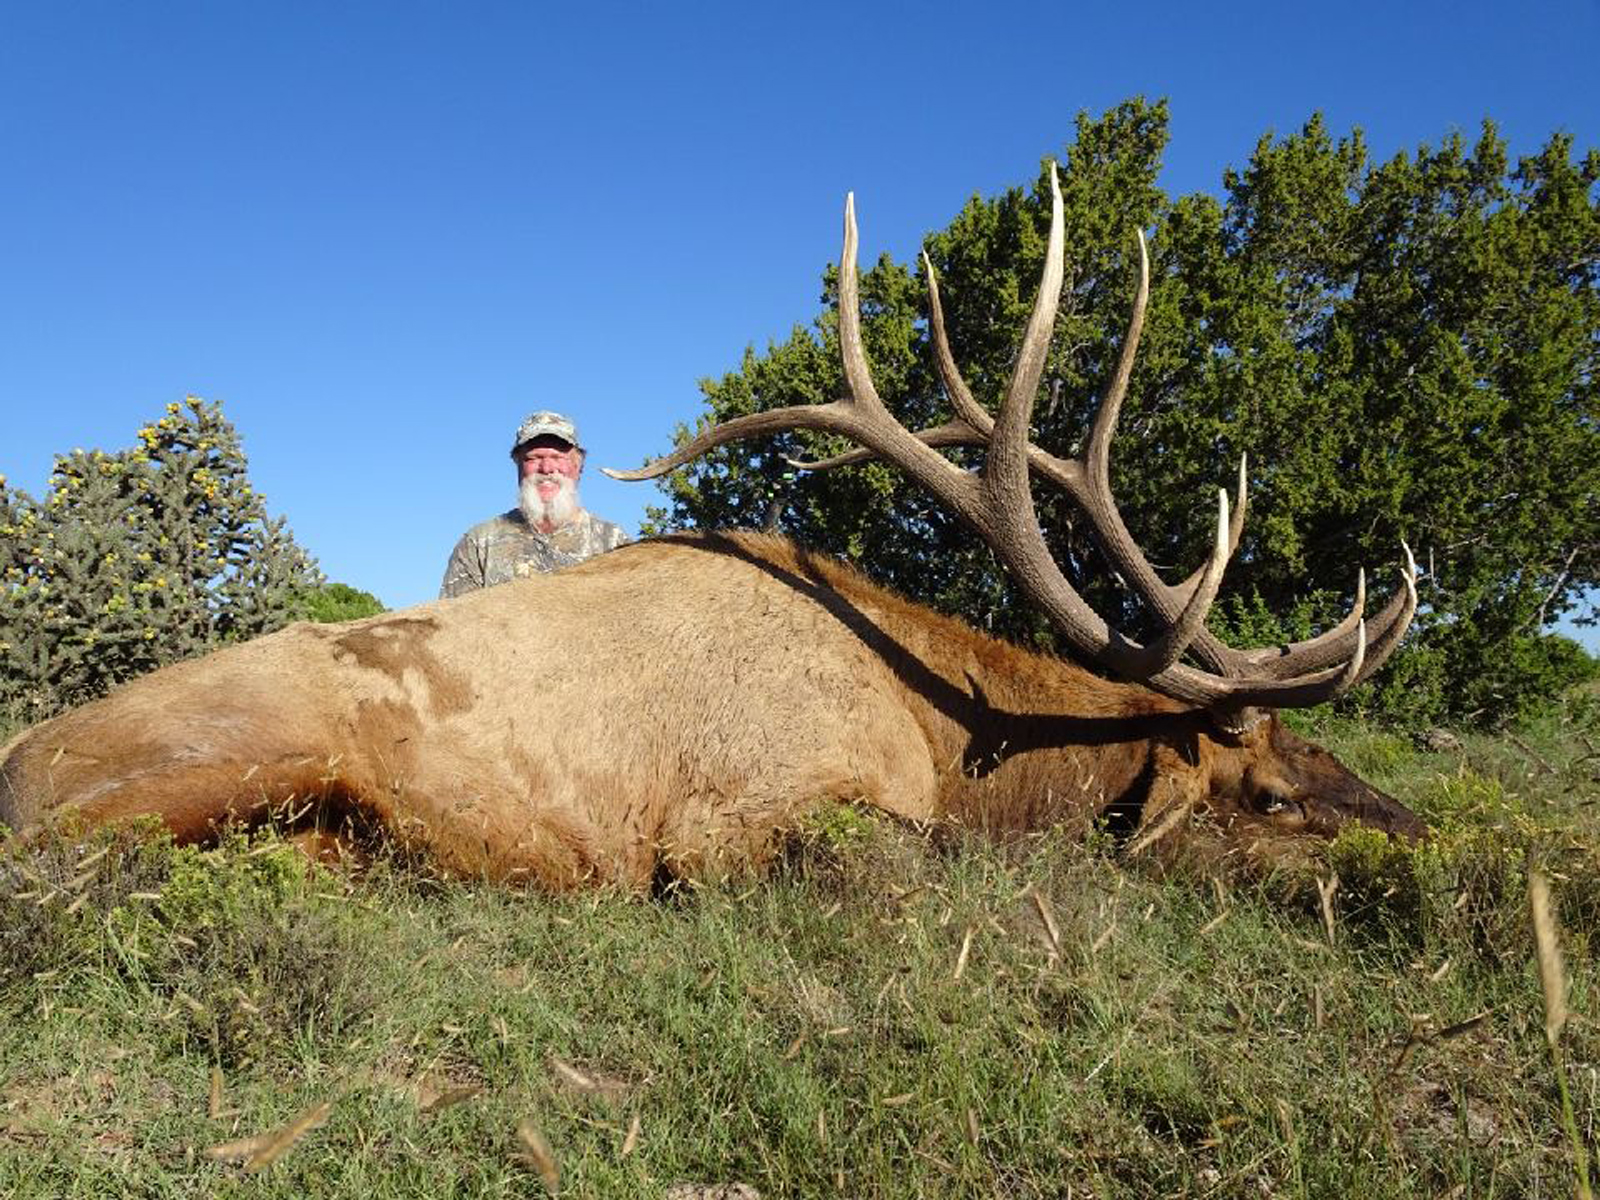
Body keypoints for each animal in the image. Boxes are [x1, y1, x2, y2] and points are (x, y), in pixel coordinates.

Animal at [0, 164, 1423, 889]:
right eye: (1274, 793)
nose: (1420, 836)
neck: (957, 737)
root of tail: (19, 754)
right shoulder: (735, 820)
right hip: (222, 762)